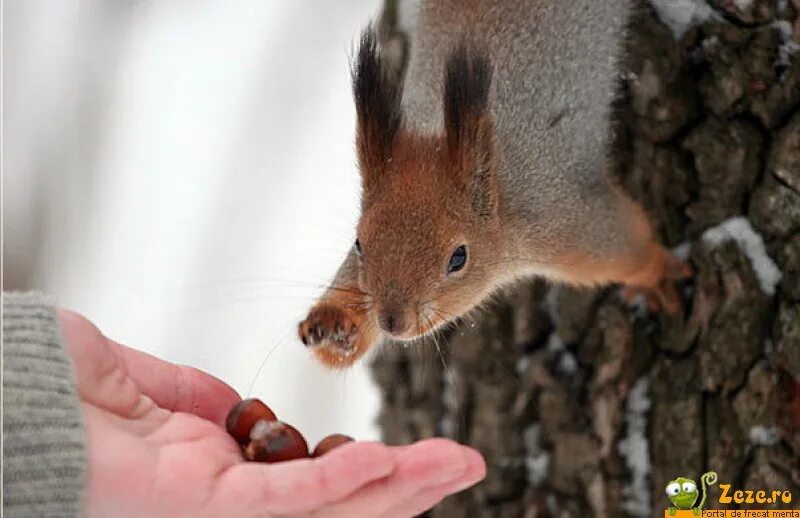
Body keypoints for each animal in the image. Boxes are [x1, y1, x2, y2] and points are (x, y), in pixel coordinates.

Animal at [296, 0, 692, 370]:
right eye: (359, 243)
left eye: (458, 258)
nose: (392, 321)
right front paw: (333, 326)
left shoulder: (564, 220)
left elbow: (624, 247)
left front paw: (656, 272)